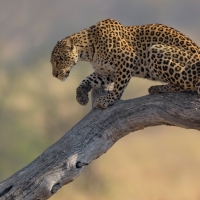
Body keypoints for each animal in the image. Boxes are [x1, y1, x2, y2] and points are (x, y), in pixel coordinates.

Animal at [50, 18, 200, 108]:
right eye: (52, 62)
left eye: (59, 60)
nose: (54, 75)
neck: (88, 52)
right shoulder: (106, 72)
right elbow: (86, 80)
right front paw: (81, 96)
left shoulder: (127, 58)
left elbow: (119, 85)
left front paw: (108, 100)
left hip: (155, 50)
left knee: (187, 86)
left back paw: (157, 88)